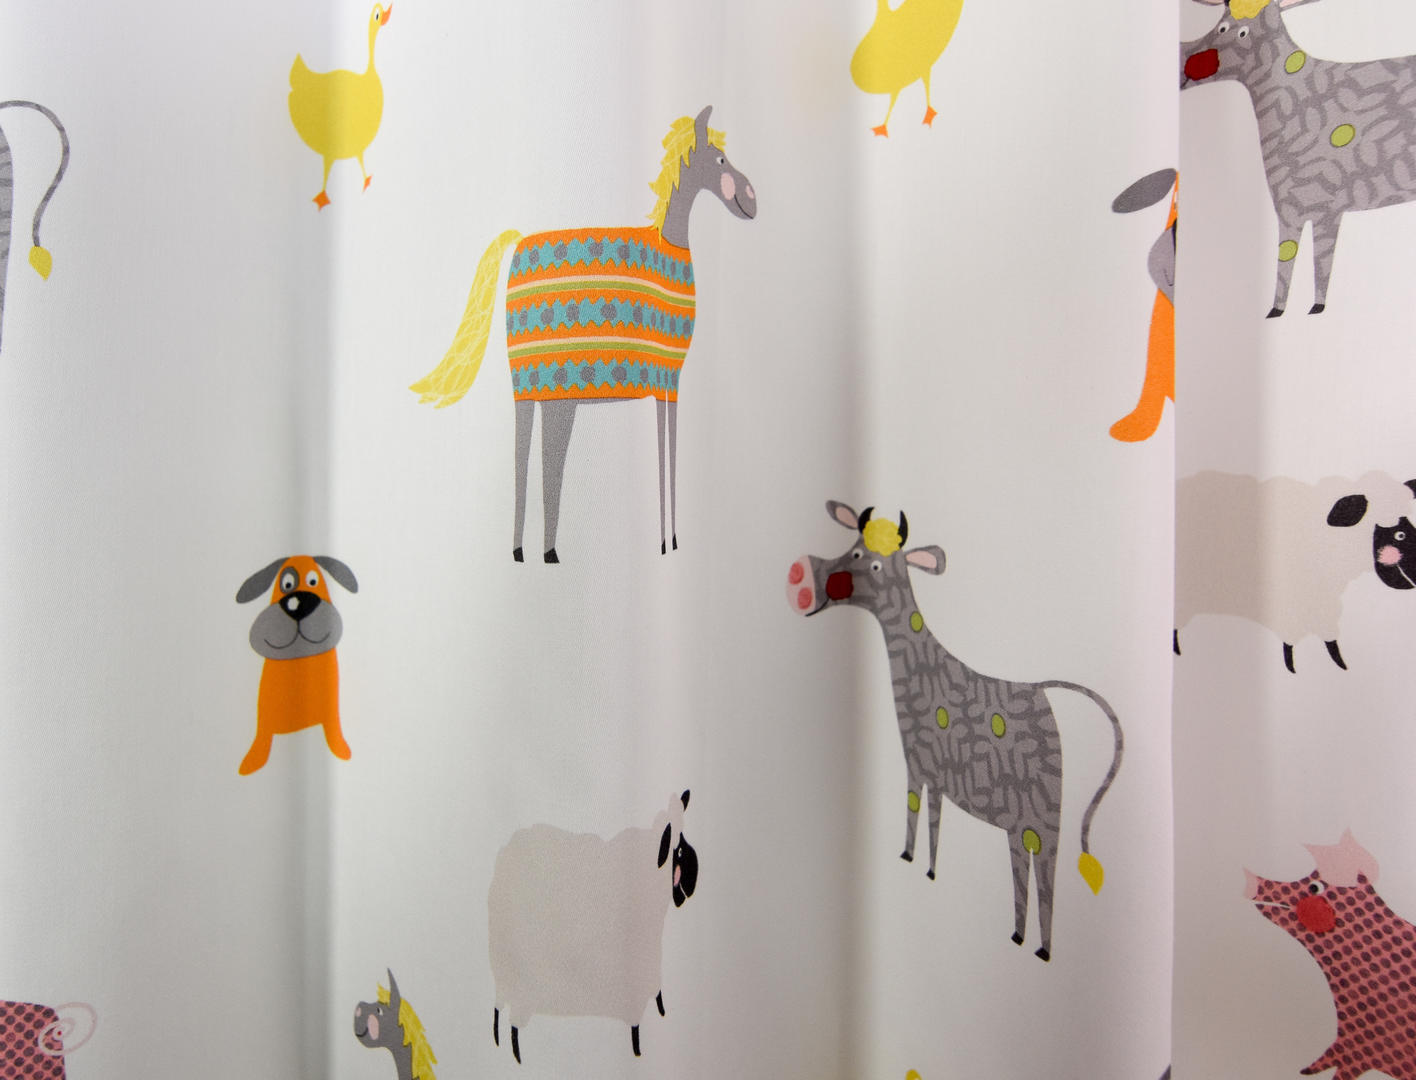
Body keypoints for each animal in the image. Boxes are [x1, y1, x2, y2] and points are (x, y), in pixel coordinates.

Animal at [235, 554, 358, 775]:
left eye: (313, 581)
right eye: (286, 584)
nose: (300, 603)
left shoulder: (331, 714)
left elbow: (334, 733)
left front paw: (341, 749)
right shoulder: (264, 722)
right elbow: (261, 741)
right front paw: (252, 761)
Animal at [410, 105, 757, 563]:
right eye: (719, 159)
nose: (753, 198)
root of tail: (517, 244)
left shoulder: (665, 384)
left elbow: (666, 452)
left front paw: (669, 540)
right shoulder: (670, 377)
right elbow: (668, 451)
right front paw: (668, 541)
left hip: (528, 389)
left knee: (524, 457)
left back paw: (522, 550)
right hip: (557, 392)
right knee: (545, 461)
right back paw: (547, 553)